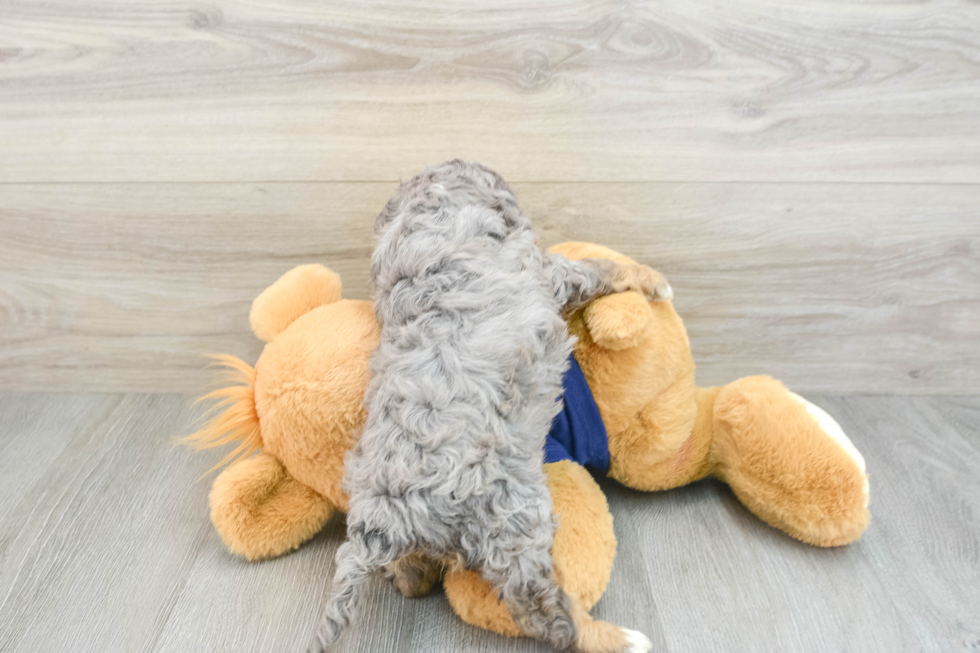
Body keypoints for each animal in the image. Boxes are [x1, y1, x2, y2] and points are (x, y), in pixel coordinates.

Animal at [310, 159, 668, 652]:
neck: (432, 220)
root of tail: (383, 521)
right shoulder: (550, 274)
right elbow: (602, 267)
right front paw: (654, 278)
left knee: (409, 575)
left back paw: (412, 577)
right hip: (511, 517)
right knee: (544, 611)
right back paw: (618, 637)